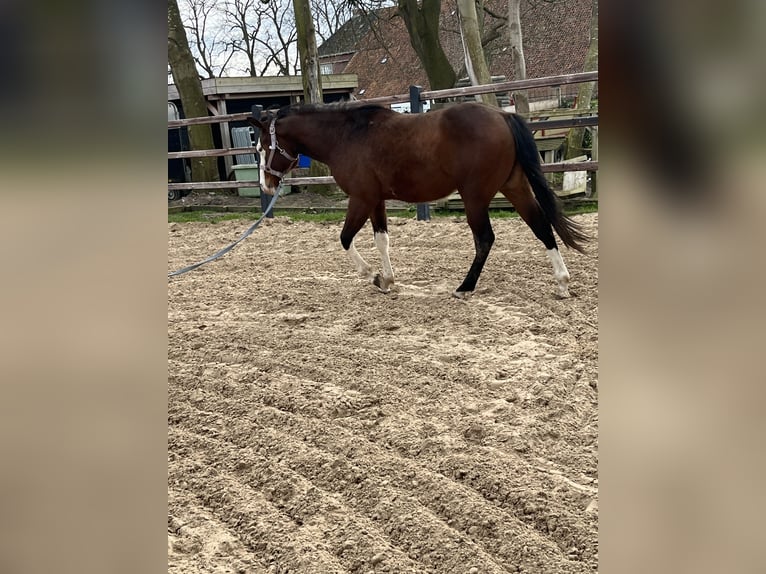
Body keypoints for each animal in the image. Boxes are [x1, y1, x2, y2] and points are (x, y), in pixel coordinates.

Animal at [247, 101, 588, 298]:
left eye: (263, 147)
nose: (266, 186)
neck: (346, 137)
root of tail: (503, 115)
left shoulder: (361, 197)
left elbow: (345, 238)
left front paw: (372, 275)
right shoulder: (377, 200)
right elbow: (381, 239)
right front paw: (386, 279)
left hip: (475, 196)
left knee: (485, 239)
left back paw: (465, 287)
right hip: (514, 186)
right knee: (541, 226)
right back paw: (562, 283)